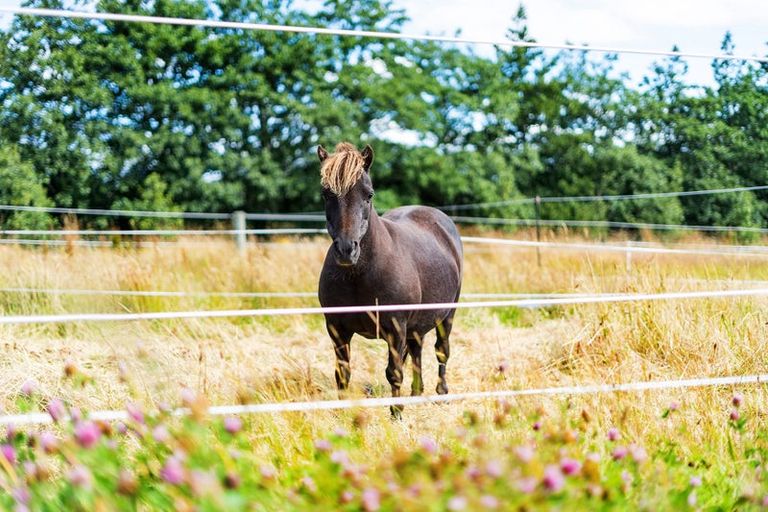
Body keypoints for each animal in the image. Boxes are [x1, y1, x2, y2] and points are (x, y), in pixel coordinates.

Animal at [316, 142, 462, 418]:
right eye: (326, 194)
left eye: (369, 194)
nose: (346, 250)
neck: (360, 276)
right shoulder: (336, 329)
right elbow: (342, 374)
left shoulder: (396, 328)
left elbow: (394, 372)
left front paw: (396, 413)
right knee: (417, 350)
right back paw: (416, 393)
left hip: (447, 316)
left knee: (441, 350)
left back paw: (441, 392)